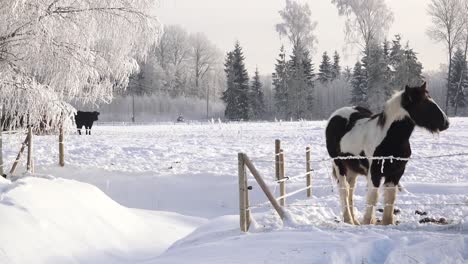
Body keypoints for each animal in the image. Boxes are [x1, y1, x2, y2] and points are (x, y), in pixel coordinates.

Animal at [326, 83, 450, 225]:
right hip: (339, 164)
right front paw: (368, 222)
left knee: (351, 190)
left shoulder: (396, 173)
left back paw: (355, 220)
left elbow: (390, 197)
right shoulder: (374, 173)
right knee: (344, 190)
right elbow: (373, 197)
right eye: (423, 102)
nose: (446, 123)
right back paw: (349, 220)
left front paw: (387, 222)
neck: (390, 139)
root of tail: (336, 115)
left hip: (353, 169)